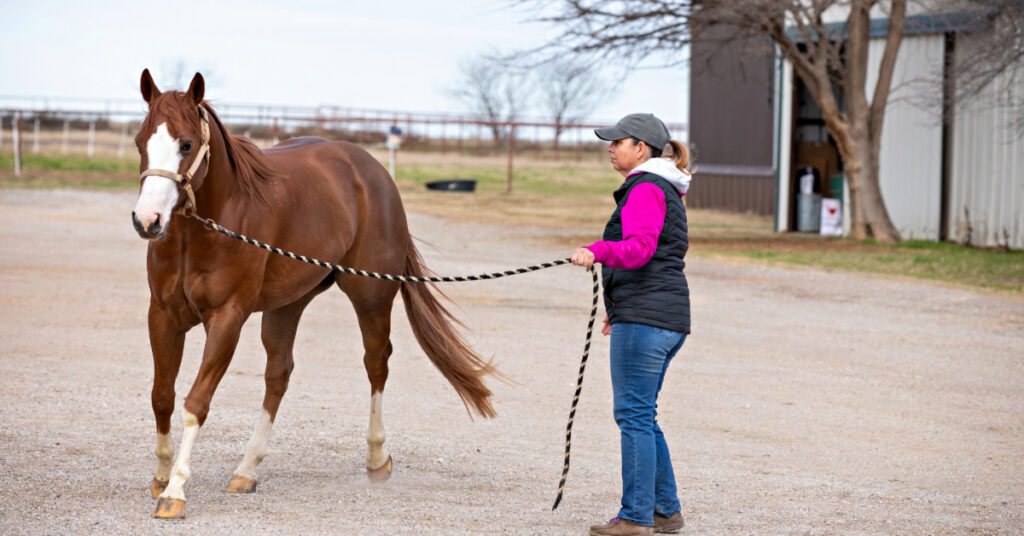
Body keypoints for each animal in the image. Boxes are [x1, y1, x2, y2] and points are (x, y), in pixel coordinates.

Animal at [130, 69, 498, 519]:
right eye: (140, 141)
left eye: (185, 144)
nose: (148, 220)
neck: (202, 230)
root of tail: (373, 172)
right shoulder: (163, 315)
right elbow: (162, 396)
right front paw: (161, 475)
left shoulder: (227, 319)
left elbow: (195, 402)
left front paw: (175, 491)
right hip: (288, 305)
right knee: (279, 374)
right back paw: (247, 470)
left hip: (371, 297)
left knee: (376, 364)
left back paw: (377, 459)